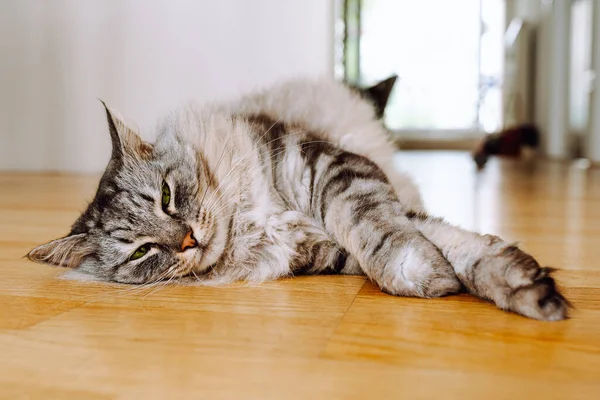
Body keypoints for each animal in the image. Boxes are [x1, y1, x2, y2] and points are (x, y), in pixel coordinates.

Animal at [28, 77, 568, 322]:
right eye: (142, 252)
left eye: (165, 196)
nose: (187, 240)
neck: (250, 224)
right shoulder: (330, 251)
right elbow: (441, 244)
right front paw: (513, 284)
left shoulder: (328, 170)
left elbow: (387, 229)